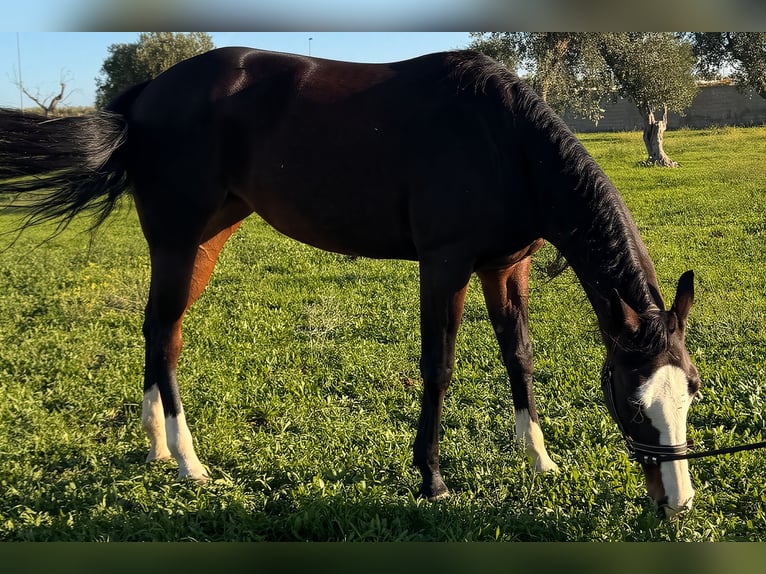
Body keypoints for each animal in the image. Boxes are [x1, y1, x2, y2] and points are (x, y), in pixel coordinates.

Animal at [0, 47, 701, 517]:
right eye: (633, 401)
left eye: (690, 391)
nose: (678, 500)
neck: (503, 138)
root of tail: (147, 93)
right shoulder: (444, 266)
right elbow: (439, 367)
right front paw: (432, 479)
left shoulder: (506, 266)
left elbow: (520, 358)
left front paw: (541, 458)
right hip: (179, 242)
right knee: (166, 334)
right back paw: (189, 461)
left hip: (204, 240)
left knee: (158, 331)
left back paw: (157, 448)